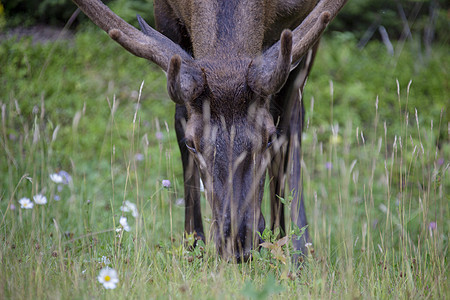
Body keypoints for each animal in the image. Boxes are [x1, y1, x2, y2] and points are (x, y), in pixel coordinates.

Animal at [72, 0, 348, 262]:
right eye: (192, 143)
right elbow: (180, 123)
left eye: (268, 138)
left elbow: (286, 133)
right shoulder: (166, 16)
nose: (237, 244)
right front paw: (193, 246)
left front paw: (288, 249)